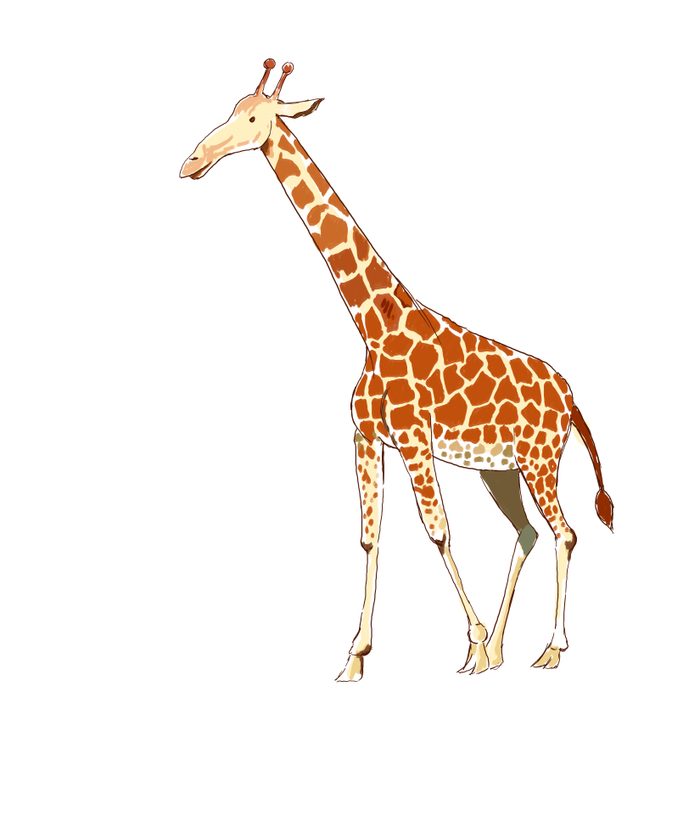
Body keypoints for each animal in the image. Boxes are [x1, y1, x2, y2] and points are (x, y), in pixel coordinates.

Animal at [180, 59, 614, 681]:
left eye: (255, 118)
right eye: (231, 109)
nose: (191, 161)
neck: (373, 324)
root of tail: (572, 397)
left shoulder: (412, 439)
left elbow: (438, 532)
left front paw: (470, 642)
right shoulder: (366, 437)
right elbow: (369, 537)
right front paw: (356, 657)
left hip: (540, 460)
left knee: (566, 532)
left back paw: (549, 648)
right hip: (499, 468)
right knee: (529, 533)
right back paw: (503, 650)